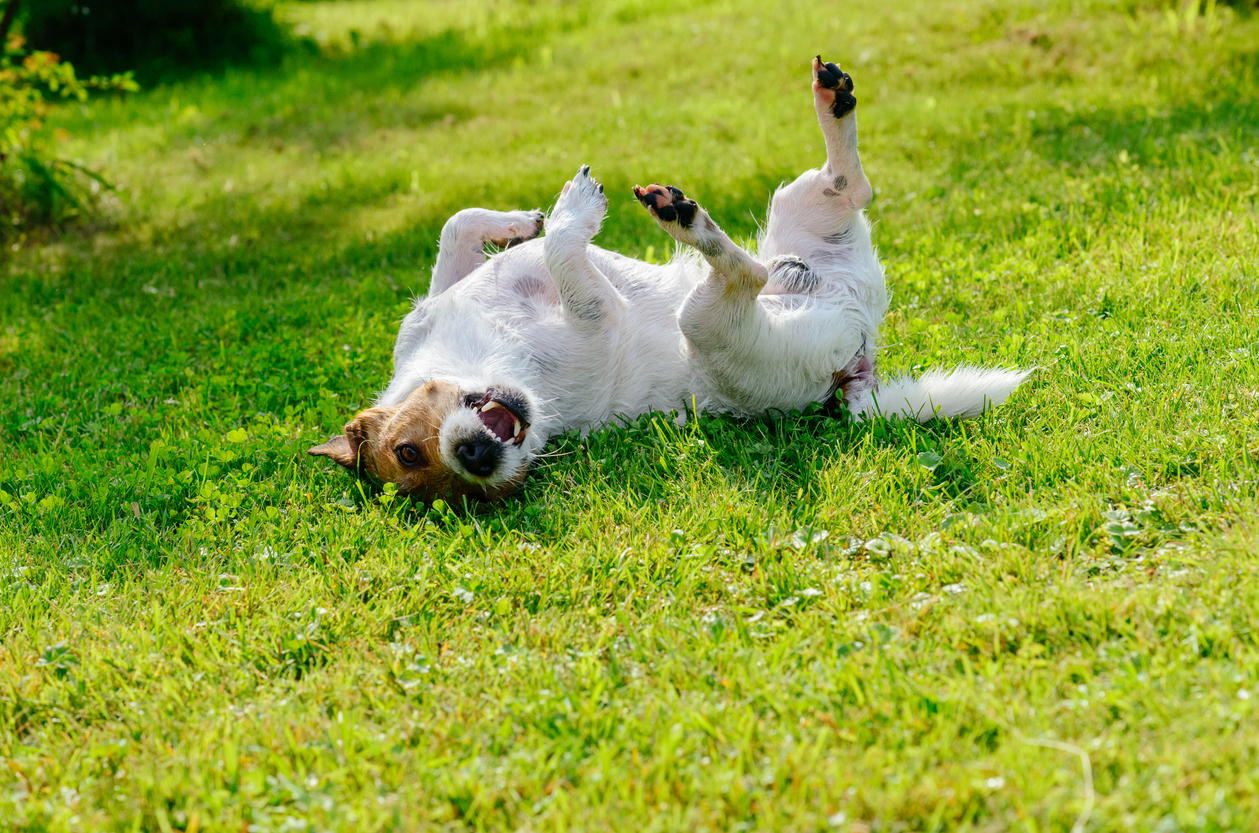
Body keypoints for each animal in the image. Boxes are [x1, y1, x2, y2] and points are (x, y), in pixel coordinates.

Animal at [309, 58, 1027, 505]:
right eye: (431, 474)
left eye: (406, 451)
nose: (477, 460)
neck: (483, 355)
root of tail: (858, 361)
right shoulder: (596, 317)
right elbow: (567, 254)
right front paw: (568, 214)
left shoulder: (435, 302)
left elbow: (456, 227)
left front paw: (521, 223)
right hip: (711, 323)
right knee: (748, 270)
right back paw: (686, 220)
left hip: (800, 205)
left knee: (849, 184)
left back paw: (831, 98)